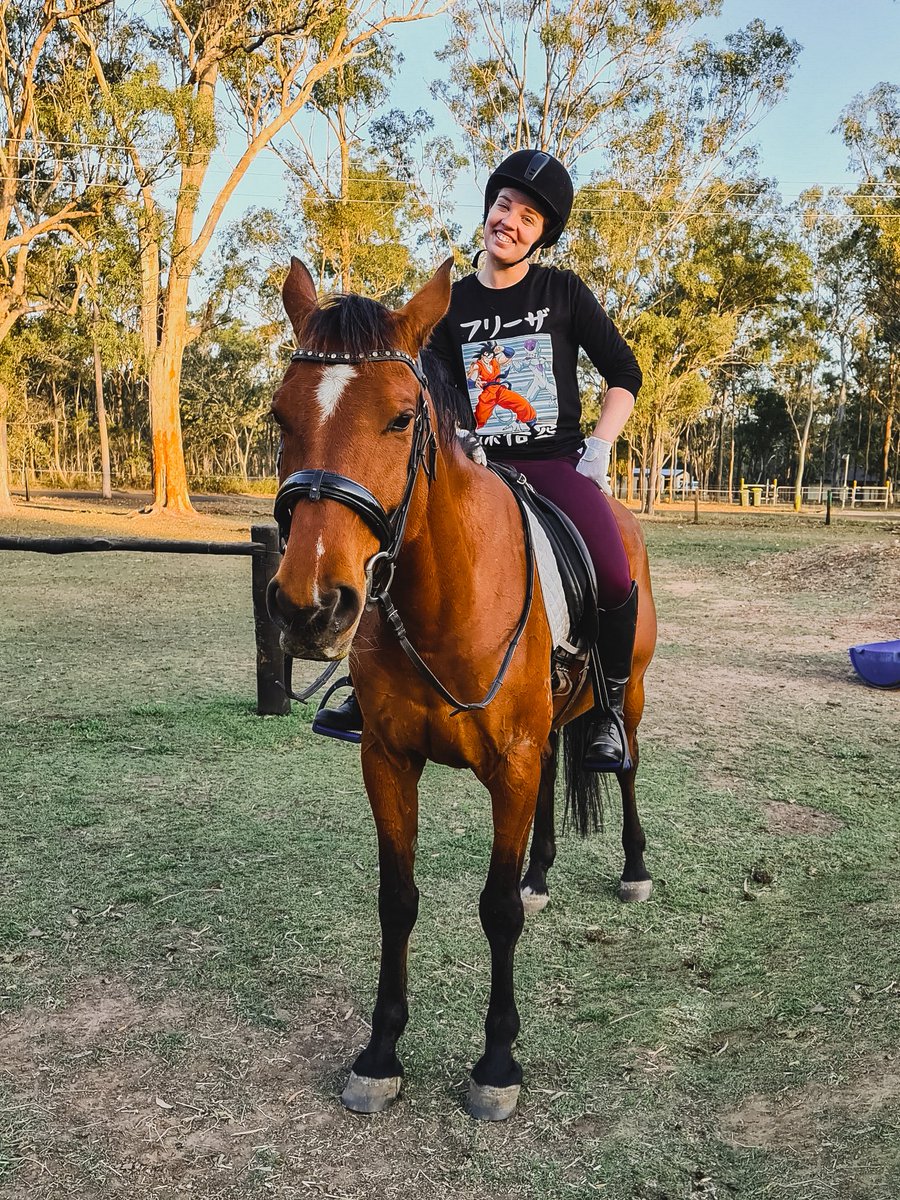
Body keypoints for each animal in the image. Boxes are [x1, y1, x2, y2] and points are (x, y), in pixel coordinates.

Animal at [267, 257, 657, 1122]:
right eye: (279, 416)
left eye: (401, 418)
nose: (312, 606)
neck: (443, 595)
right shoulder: (387, 760)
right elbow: (397, 898)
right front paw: (380, 1053)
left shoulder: (507, 762)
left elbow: (496, 909)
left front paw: (497, 1064)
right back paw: (542, 873)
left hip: (633, 695)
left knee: (626, 765)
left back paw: (634, 867)